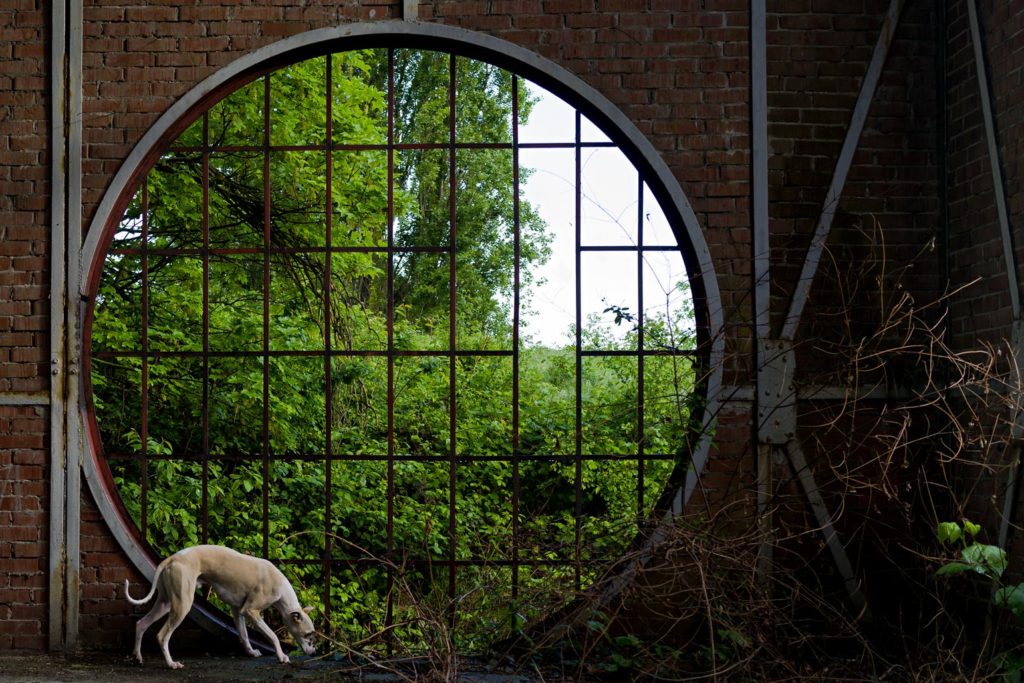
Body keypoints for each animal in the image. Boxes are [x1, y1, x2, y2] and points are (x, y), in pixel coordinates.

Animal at [124, 548, 315, 671]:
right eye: (308, 635)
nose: (314, 653)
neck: (280, 587)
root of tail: (171, 559)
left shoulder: (238, 610)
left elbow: (244, 635)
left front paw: (251, 652)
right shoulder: (251, 611)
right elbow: (273, 636)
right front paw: (282, 657)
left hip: (166, 603)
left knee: (141, 623)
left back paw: (137, 657)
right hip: (182, 605)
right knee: (162, 635)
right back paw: (171, 664)